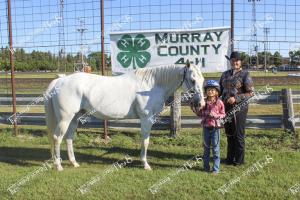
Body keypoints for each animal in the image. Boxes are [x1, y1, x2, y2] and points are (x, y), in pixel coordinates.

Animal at [44, 62, 205, 170]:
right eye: (192, 80)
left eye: (202, 80)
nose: (201, 103)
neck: (151, 85)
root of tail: (60, 80)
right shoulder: (146, 119)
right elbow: (145, 141)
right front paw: (145, 164)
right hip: (65, 119)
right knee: (57, 138)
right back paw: (58, 166)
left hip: (75, 118)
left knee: (69, 138)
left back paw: (74, 163)